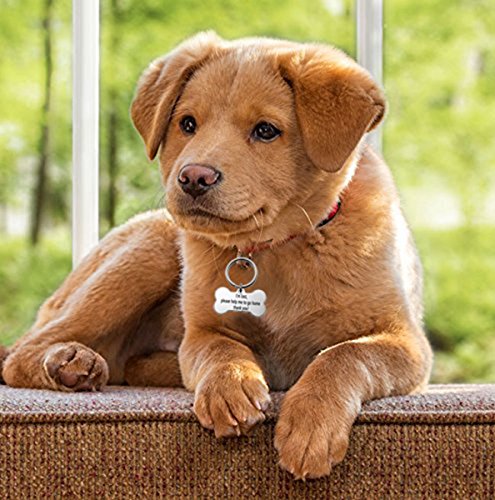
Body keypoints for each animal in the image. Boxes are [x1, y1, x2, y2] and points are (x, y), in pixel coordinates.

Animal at [1, 32, 433, 479]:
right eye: (187, 124)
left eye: (266, 131)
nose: (194, 177)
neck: (273, 248)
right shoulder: (201, 332)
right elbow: (221, 349)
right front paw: (231, 385)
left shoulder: (407, 342)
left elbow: (345, 354)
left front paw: (311, 424)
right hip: (151, 247)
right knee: (23, 350)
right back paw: (69, 362)